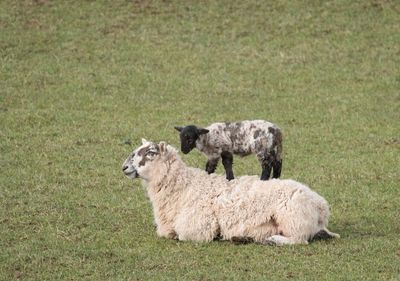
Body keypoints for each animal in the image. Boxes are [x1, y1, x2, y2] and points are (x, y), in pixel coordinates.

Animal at [121, 139, 338, 244]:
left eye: (150, 153)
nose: (124, 167)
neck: (184, 186)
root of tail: (322, 206)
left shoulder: (199, 225)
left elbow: (181, 235)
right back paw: (243, 238)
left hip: (292, 217)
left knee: (299, 240)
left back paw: (273, 241)